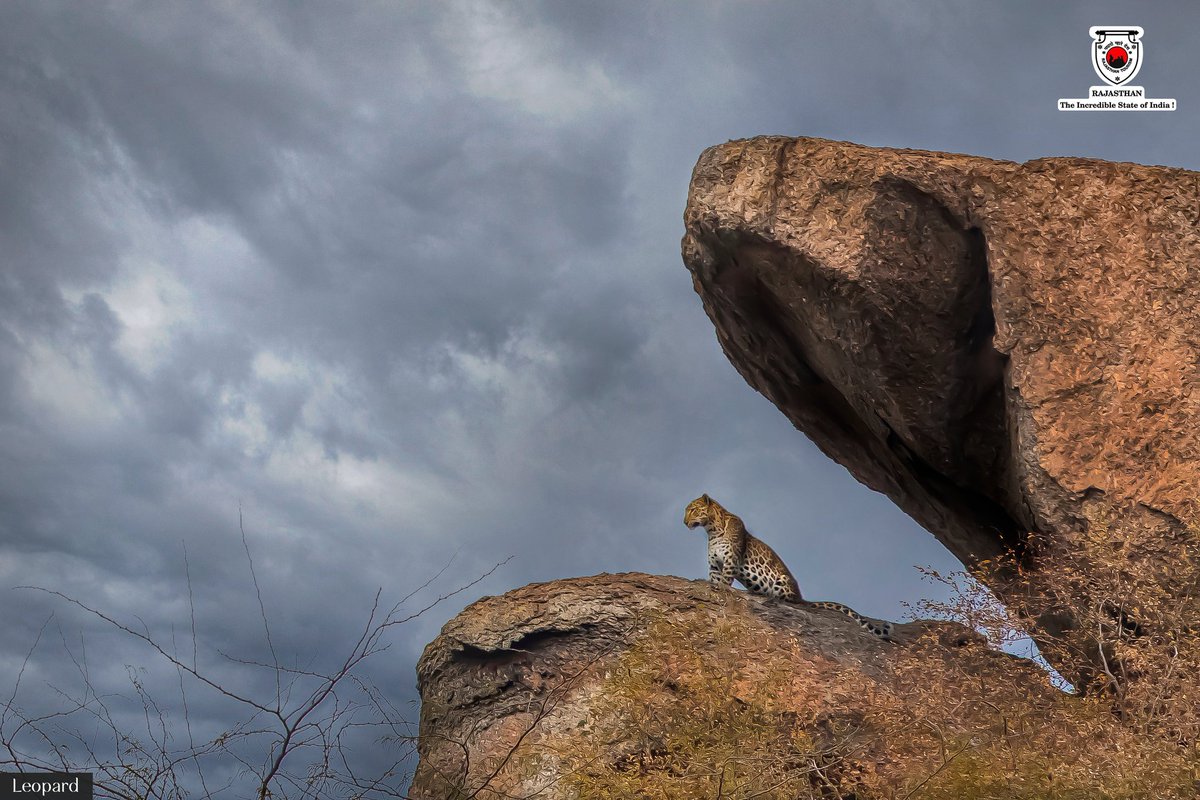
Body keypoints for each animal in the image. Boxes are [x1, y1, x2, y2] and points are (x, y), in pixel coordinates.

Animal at [683, 493, 895, 642]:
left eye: (693, 510)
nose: (684, 522)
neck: (712, 529)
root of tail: (801, 597)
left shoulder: (730, 562)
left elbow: (725, 582)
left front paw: (721, 589)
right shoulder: (714, 565)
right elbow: (714, 578)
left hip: (781, 582)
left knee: (786, 600)